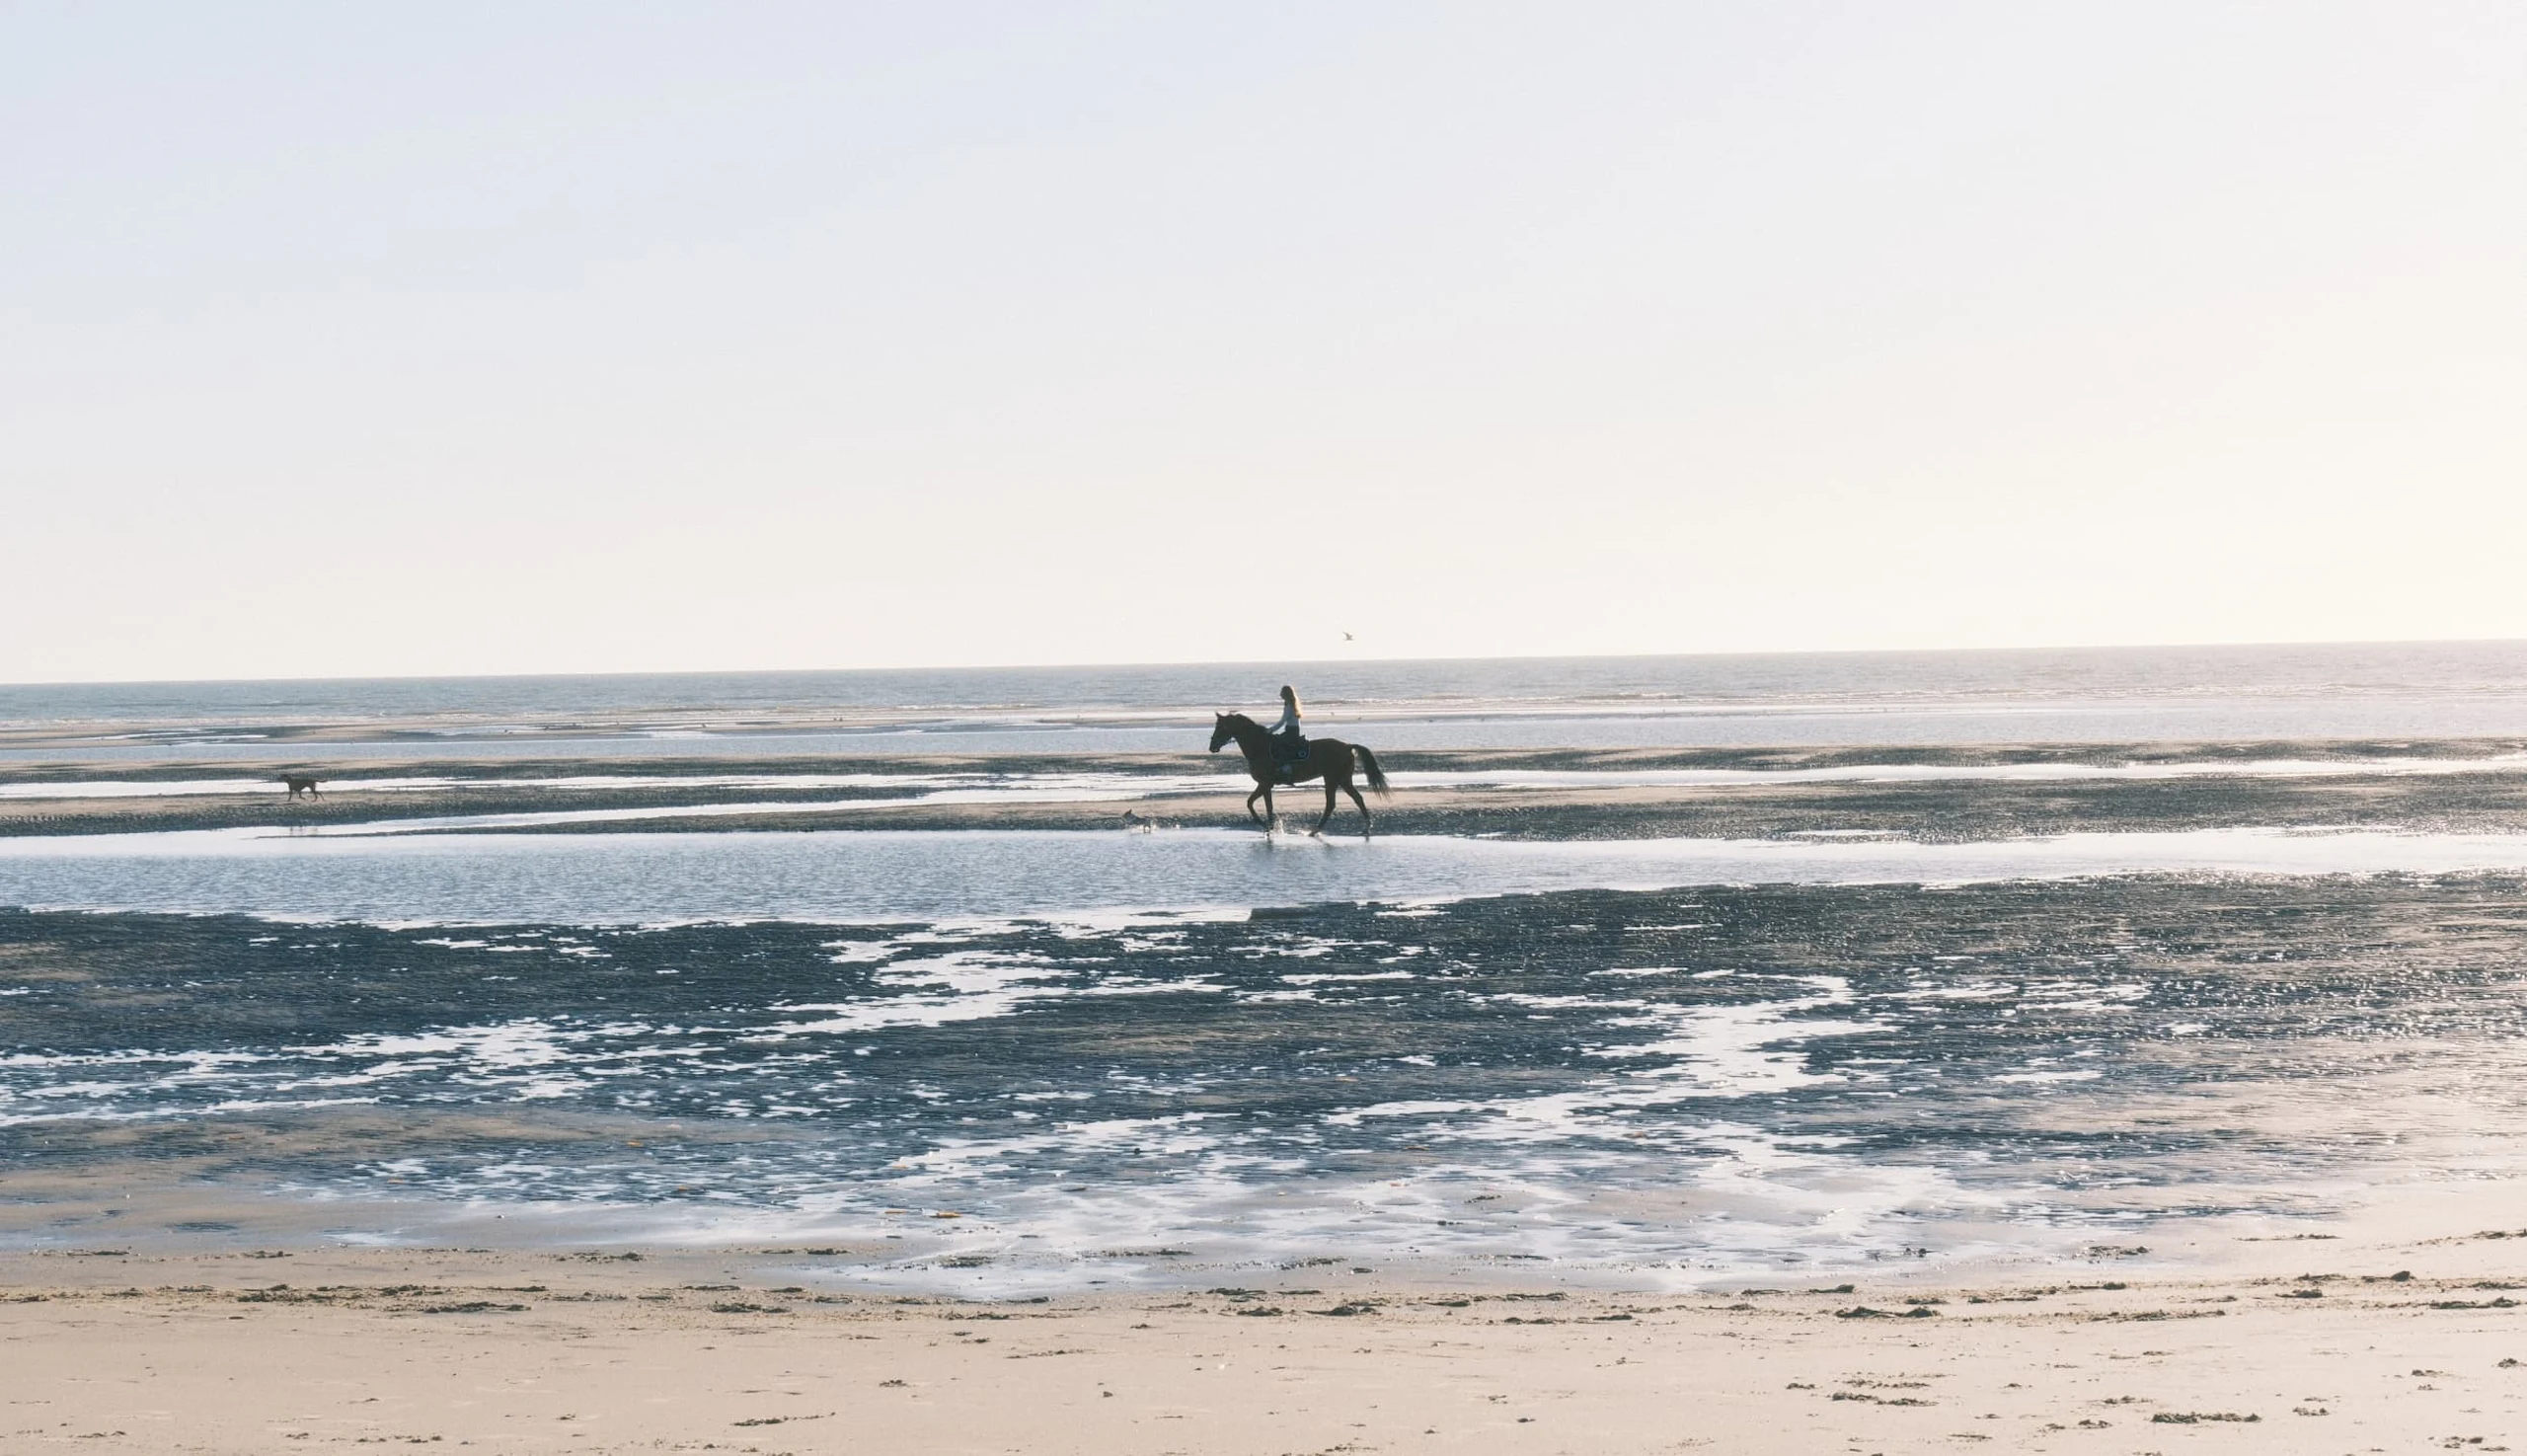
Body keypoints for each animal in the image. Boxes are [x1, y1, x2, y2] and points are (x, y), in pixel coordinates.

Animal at [1209, 712, 1390, 837]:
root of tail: (1347, 746)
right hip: (1343, 780)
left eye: (1221, 727)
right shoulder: (1266, 785)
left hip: (1333, 779)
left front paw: (1266, 826)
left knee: (1332, 804)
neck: (1258, 747)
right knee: (1356, 799)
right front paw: (1269, 827)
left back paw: (1317, 830)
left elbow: (1252, 804)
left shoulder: (1264, 783)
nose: (1212, 746)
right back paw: (1363, 827)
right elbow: (1264, 805)